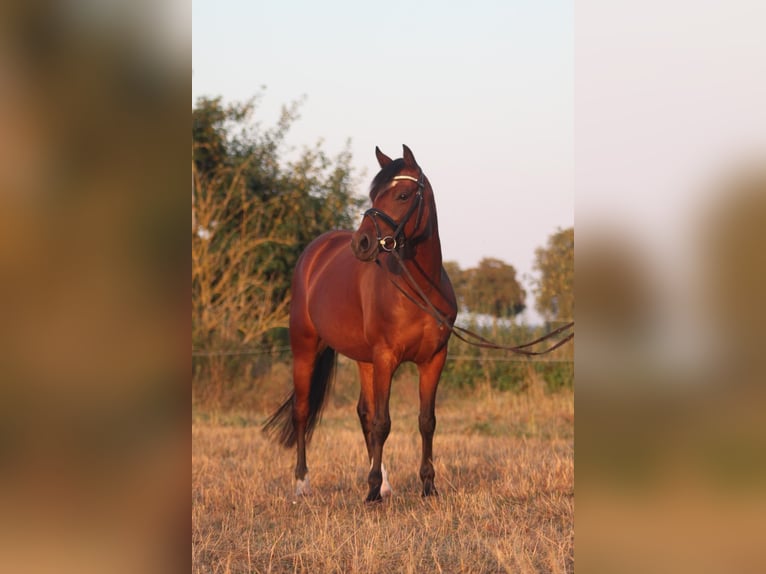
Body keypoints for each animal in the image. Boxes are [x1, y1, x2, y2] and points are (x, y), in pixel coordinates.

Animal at [263, 145, 457, 503]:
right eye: (373, 194)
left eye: (403, 194)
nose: (362, 243)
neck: (419, 290)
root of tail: (316, 252)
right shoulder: (386, 357)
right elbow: (383, 422)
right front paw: (371, 491)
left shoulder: (434, 359)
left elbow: (426, 421)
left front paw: (427, 486)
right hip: (306, 349)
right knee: (302, 411)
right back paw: (302, 484)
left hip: (363, 360)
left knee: (363, 412)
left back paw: (386, 483)